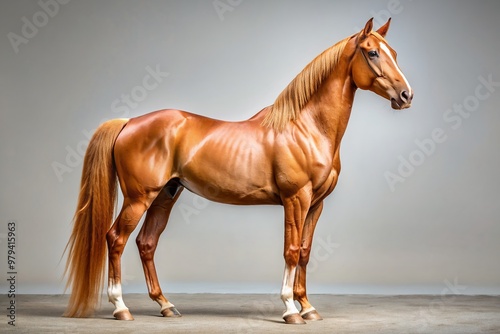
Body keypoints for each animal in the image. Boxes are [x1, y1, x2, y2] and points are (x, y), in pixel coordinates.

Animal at [63, 17, 414, 324]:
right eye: (372, 52)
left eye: (395, 53)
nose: (406, 95)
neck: (307, 128)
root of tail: (129, 122)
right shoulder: (296, 199)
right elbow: (290, 251)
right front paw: (290, 309)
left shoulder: (316, 204)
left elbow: (304, 252)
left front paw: (308, 307)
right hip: (139, 197)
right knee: (116, 239)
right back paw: (121, 308)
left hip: (165, 195)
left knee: (146, 243)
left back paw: (166, 305)